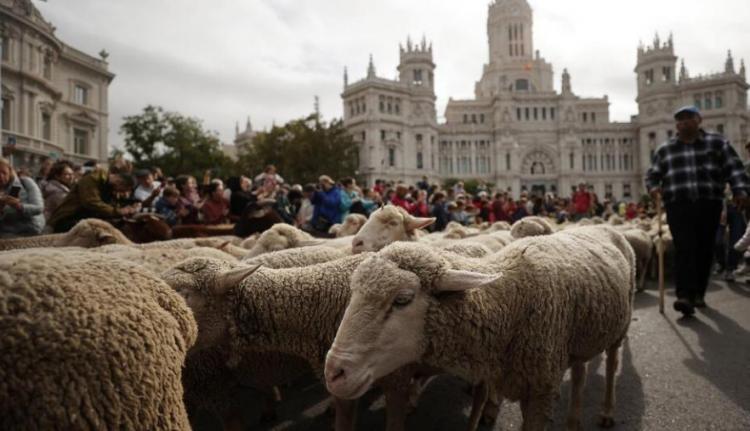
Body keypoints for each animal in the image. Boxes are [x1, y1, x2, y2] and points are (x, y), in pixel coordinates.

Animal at [326, 226, 636, 431]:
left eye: (402, 300)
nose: (334, 373)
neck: (510, 299)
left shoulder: (541, 389)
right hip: (581, 336)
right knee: (581, 372)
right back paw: (573, 421)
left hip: (620, 325)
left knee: (612, 365)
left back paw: (607, 411)